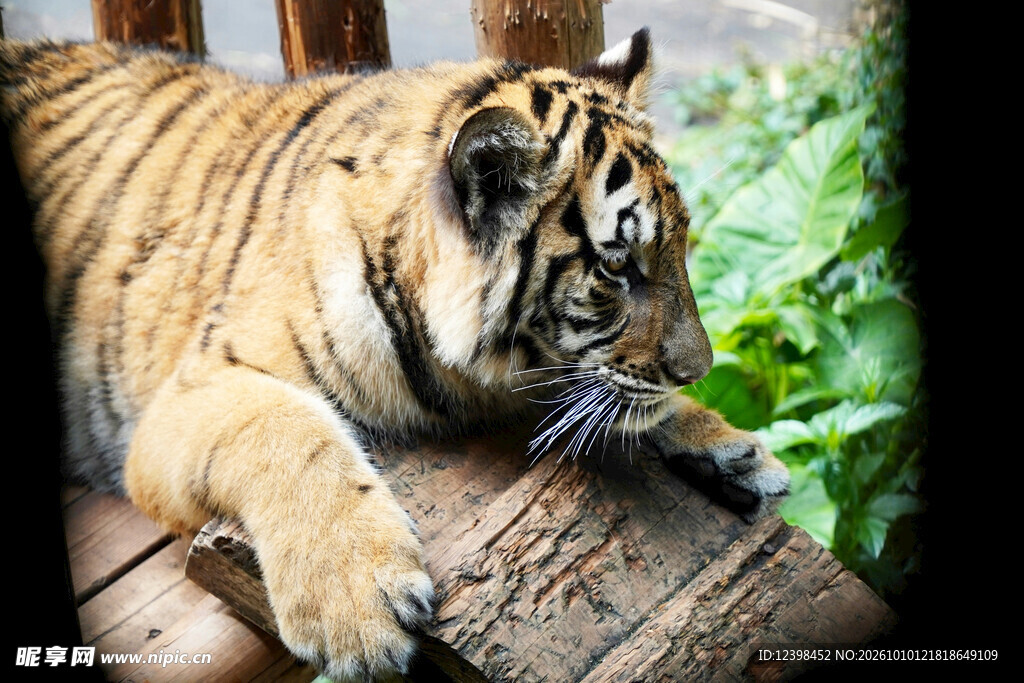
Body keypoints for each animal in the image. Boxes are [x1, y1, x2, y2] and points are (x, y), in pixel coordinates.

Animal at [1, 29, 789, 680]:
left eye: (682, 246)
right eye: (617, 266)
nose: (700, 368)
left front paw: (727, 445)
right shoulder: (185, 395)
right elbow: (284, 430)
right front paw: (358, 610)